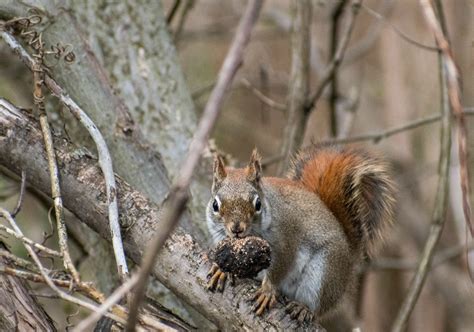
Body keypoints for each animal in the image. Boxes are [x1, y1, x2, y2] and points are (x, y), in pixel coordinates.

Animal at [206, 145, 394, 322]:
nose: (237, 229)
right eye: (215, 205)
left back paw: (304, 309)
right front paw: (221, 270)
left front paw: (267, 291)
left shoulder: (285, 240)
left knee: (318, 305)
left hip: (325, 271)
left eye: (258, 204)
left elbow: (280, 266)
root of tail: (349, 256)